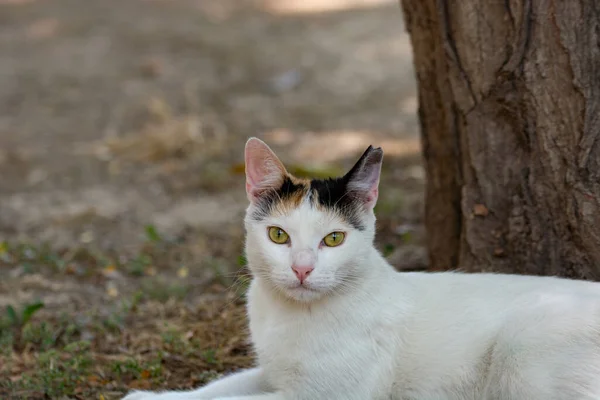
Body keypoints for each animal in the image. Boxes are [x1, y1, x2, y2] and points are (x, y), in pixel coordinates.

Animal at [123, 138, 600, 400]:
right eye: (278, 235)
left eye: (333, 239)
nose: (301, 269)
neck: (292, 318)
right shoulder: (271, 372)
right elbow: (218, 388)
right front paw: (146, 396)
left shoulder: (321, 397)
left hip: (524, 354)